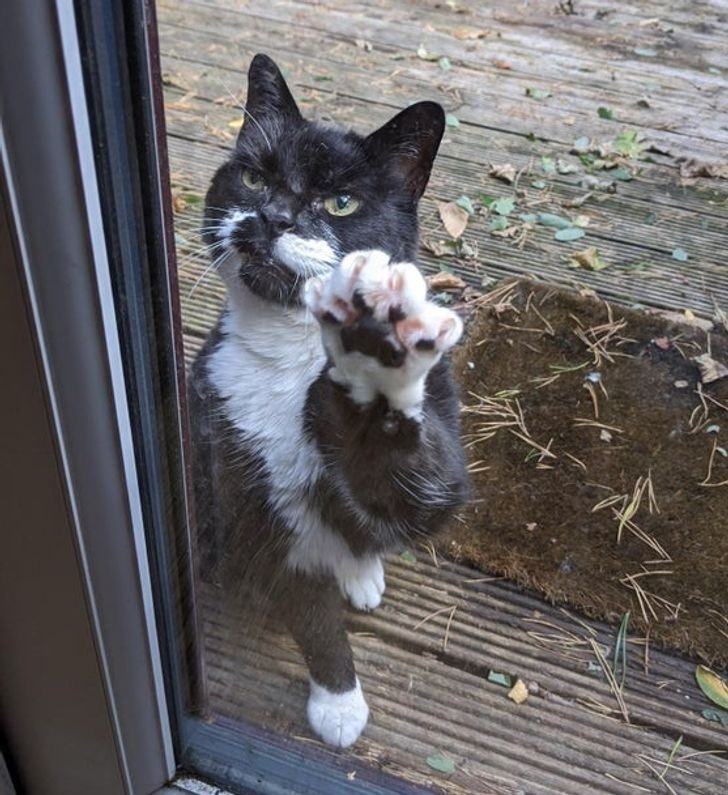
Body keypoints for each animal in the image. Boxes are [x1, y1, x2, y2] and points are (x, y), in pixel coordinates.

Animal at [188, 52, 470, 748]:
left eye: (341, 202)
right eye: (254, 178)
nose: (274, 217)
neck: (291, 354)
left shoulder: (441, 434)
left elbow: (423, 493)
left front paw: (377, 360)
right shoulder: (242, 477)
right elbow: (308, 605)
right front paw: (339, 702)